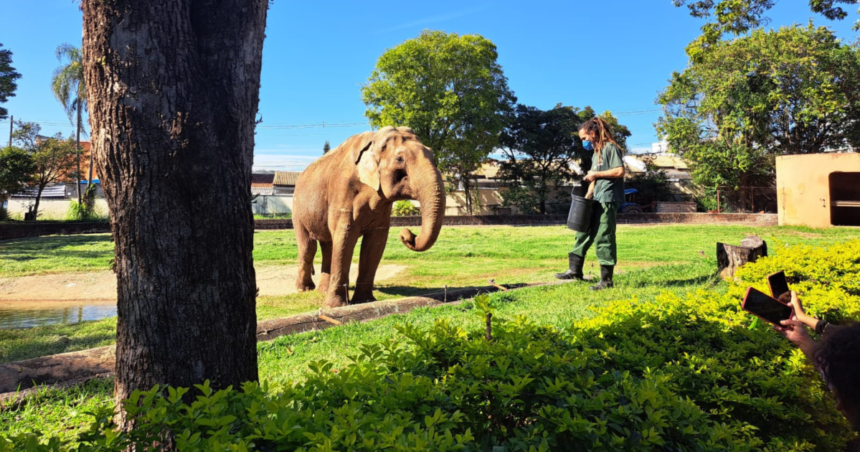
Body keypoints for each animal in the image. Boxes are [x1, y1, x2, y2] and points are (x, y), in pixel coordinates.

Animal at [292, 126, 446, 308]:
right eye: (399, 159)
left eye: (433, 155)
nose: (407, 233)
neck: (374, 139)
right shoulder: (343, 190)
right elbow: (344, 238)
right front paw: (334, 306)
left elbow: (375, 243)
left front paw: (364, 301)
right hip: (297, 211)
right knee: (308, 248)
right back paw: (305, 289)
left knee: (328, 247)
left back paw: (322, 290)